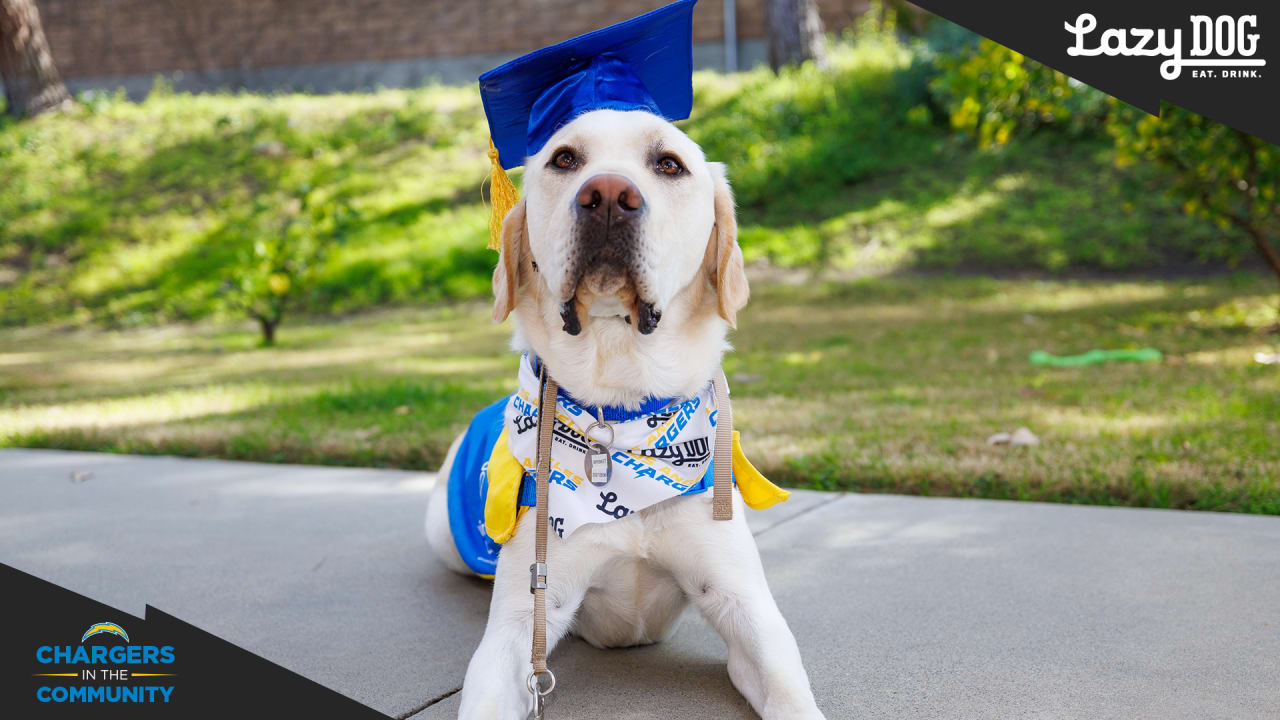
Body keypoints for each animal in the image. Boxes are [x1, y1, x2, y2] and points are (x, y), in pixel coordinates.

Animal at [424, 107, 824, 717]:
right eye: (565, 158)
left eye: (669, 164)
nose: (609, 195)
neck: (619, 414)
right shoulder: (524, 618)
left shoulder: (742, 603)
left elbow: (788, 690)